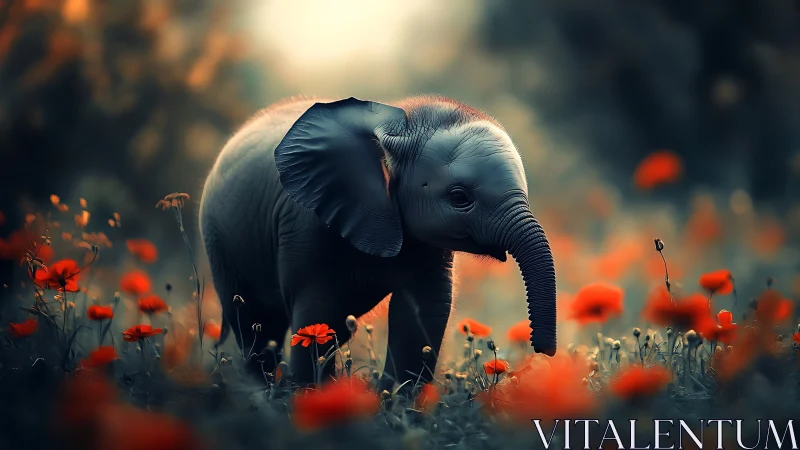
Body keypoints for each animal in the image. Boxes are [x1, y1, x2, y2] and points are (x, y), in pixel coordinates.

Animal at [199, 95, 557, 389]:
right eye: (460, 197)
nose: (544, 350)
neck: (401, 123)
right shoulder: (306, 225)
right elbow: (317, 312)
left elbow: (424, 313)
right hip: (219, 240)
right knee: (256, 324)